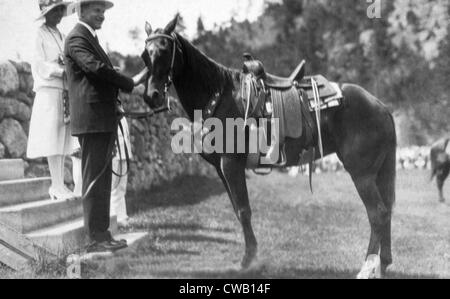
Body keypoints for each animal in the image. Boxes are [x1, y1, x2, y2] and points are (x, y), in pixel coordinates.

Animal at [141, 15, 398, 278]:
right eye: (145, 54)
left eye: (165, 50)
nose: (151, 95)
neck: (219, 95)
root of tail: (380, 106)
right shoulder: (221, 169)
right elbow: (237, 210)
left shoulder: (231, 164)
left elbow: (243, 210)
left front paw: (249, 260)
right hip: (379, 172)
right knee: (387, 210)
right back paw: (383, 262)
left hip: (362, 174)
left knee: (377, 213)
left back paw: (367, 266)